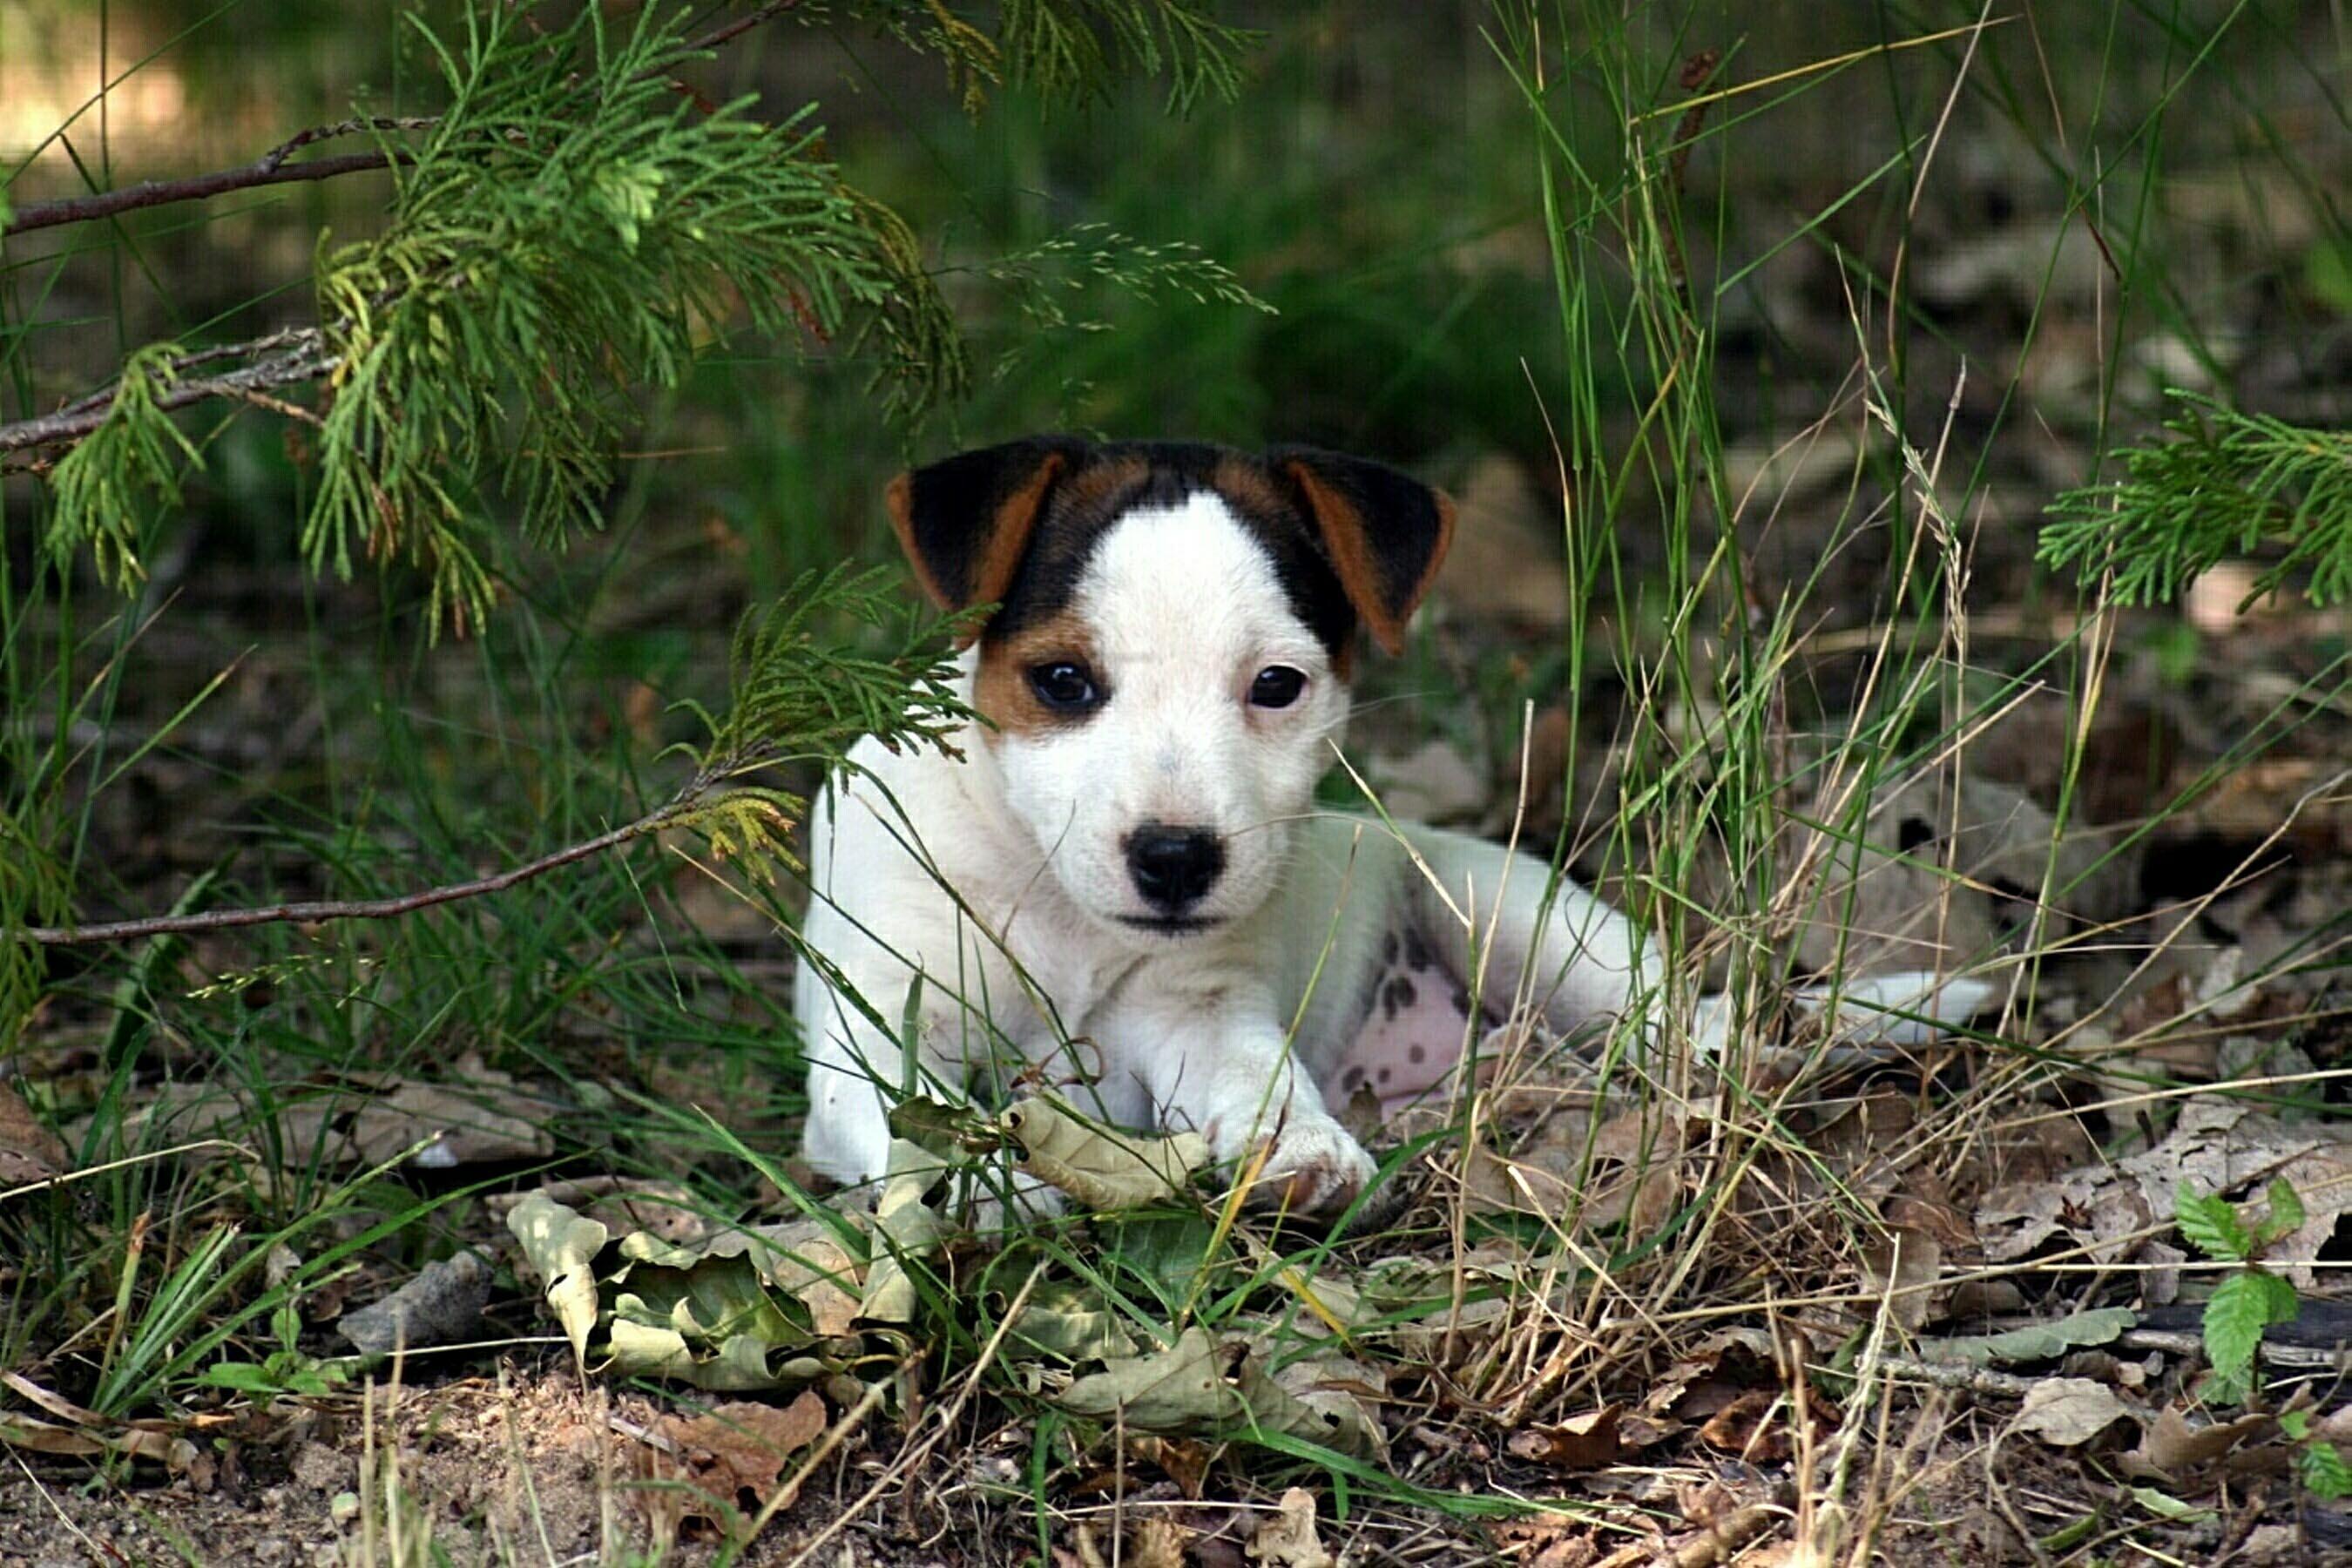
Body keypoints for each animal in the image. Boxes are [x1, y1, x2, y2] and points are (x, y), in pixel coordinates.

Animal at [794, 439, 1984, 1213]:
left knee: (1690, 1031)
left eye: (1277, 685)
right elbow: (917, 1116)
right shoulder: (874, 1019)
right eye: (1061, 682)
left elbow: (1252, 1070)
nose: (1177, 861)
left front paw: (1297, 1144)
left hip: (1528, 920)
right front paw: (989, 1184)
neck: (1052, 899)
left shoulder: (1196, 1006)